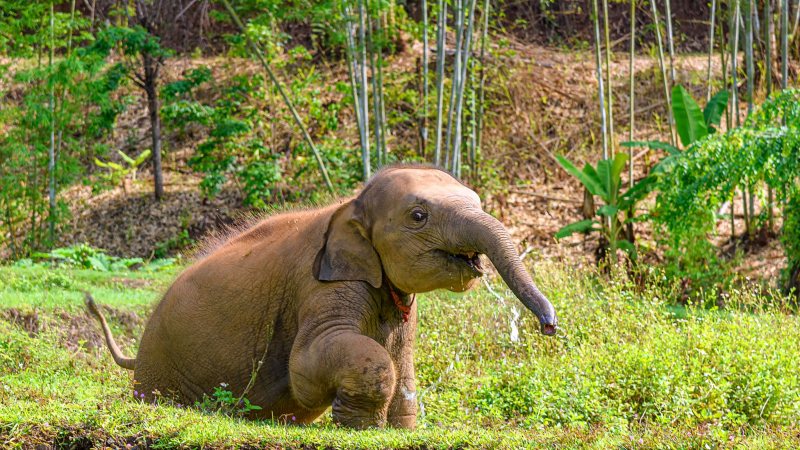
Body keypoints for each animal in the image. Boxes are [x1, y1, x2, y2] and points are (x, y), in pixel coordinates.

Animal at [86, 165, 558, 429]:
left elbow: (403, 362)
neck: (351, 205)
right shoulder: (320, 285)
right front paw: (361, 428)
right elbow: (311, 362)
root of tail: (137, 353)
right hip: (158, 378)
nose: (550, 327)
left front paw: (398, 431)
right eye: (419, 216)